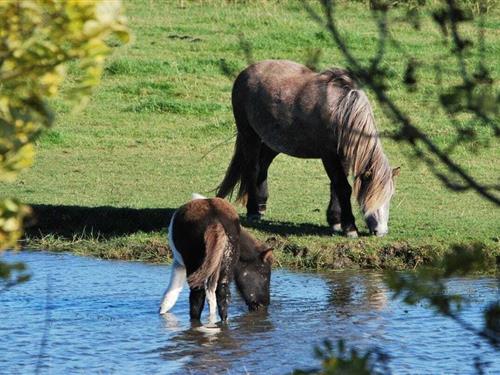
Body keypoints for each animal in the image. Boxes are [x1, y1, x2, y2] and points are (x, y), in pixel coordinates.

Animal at [160, 194, 272, 324]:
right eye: (264, 273)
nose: (264, 304)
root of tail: (215, 221)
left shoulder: (179, 264)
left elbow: (171, 292)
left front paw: (162, 310)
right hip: (224, 268)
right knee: (222, 295)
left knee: (198, 295)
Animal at [215, 61, 398, 238]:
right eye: (371, 196)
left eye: (390, 197)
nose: (381, 232)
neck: (341, 111)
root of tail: (245, 72)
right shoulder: (329, 156)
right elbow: (342, 187)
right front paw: (350, 227)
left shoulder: (343, 156)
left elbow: (336, 186)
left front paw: (335, 221)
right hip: (249, 135)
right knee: (253, 169)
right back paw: (253, 210)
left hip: (273, 141)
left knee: (263, 166)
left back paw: (261, 206)